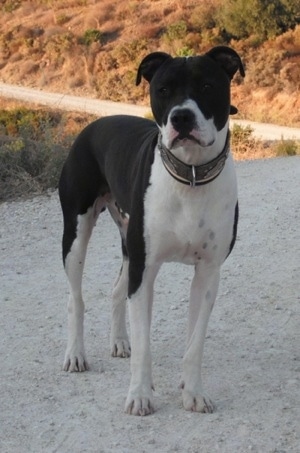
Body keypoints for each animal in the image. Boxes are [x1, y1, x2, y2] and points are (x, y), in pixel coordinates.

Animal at [58, 45, 244, 414]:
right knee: (76, 298)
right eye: (163, 90)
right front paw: (140, 395)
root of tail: (93, 125)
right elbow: (144, 345)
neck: (191, 174)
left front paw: (192, 392)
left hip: (129, 243)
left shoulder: (208, 272)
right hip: (76, 235)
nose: (181, 118)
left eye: (206, 86)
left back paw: (119, 341)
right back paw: (75, 354)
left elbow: (194, 342)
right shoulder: (145, 272)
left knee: (116, 290)